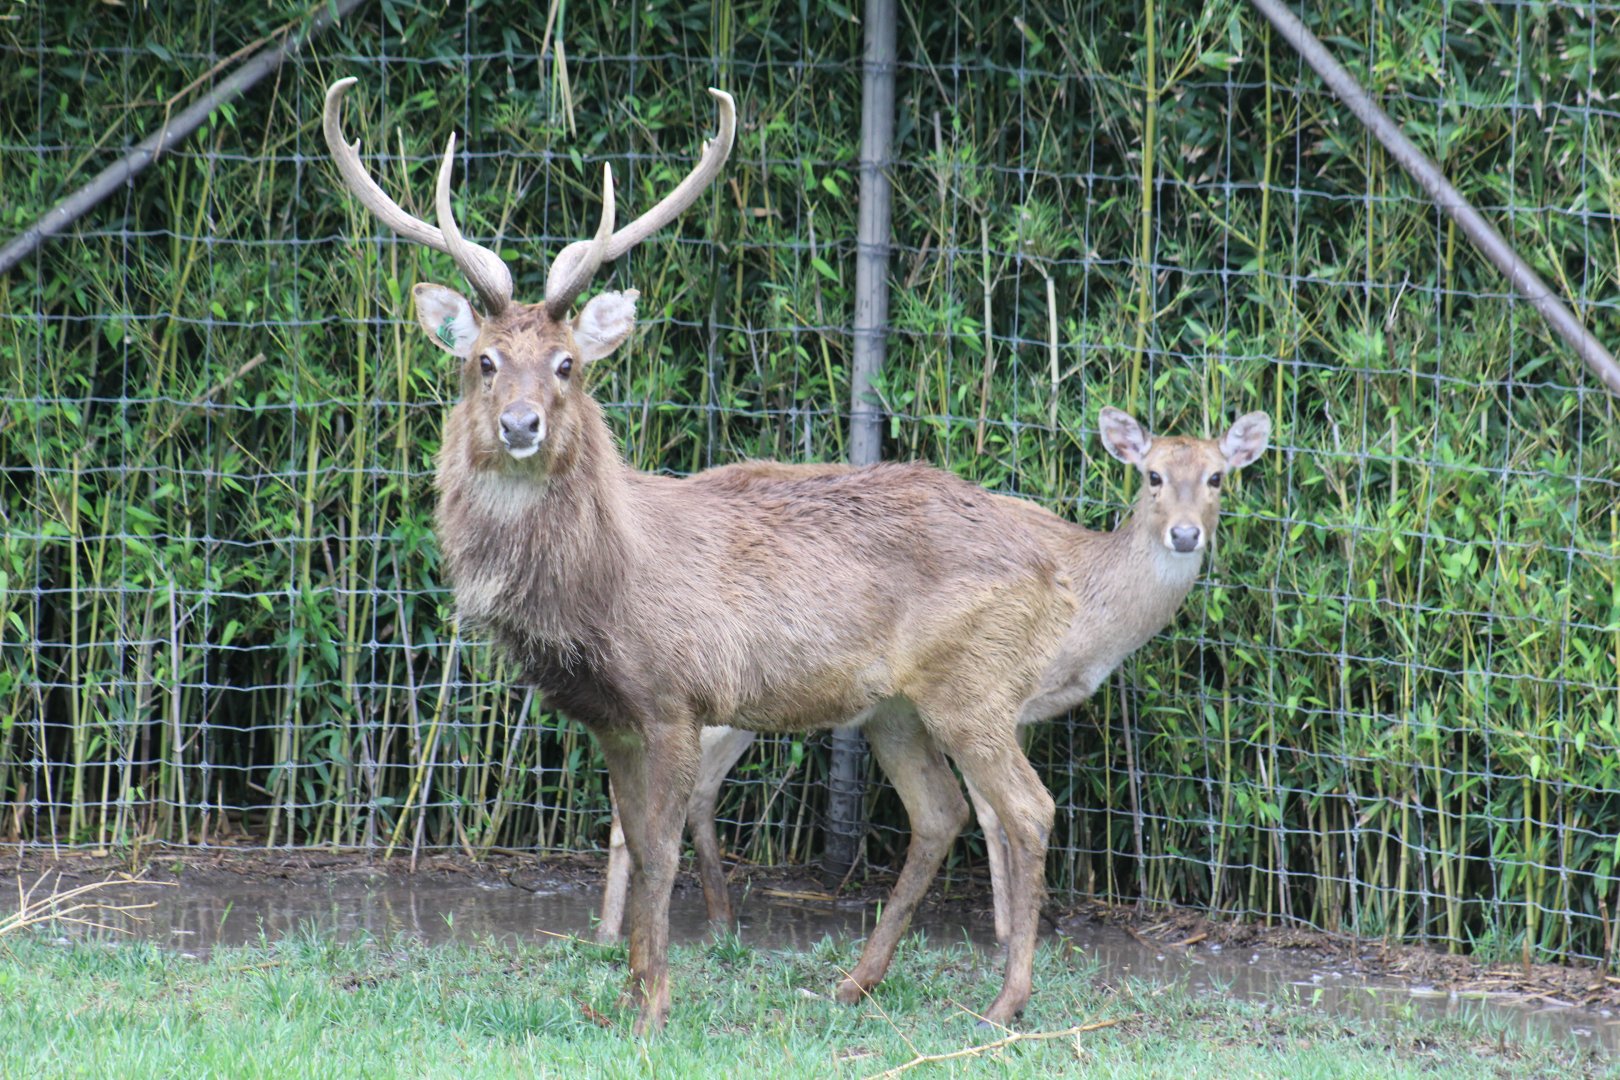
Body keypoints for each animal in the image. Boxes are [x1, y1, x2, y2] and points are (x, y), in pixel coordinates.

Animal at [323, 77, 1080, 1035]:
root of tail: (1061, 570)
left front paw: (653, 1006)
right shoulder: (609, 715)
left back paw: (1007, 1002)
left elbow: (662, 853)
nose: (521, 425)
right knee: (941, 813)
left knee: (1026, 808)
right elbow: (636, 845)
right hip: (893, 707)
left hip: (975, 682)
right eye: (485, 361)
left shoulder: (675, 695)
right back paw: (853, 983)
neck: (602, 592)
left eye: (567, 364)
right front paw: (623, 995)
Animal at [595, 407, 1272, 947]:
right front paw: (1009, 933)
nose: (1185, 533)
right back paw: (612, 933)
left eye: (1217, 476)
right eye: (1152, 475)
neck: (1091, 607)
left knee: (696, 786)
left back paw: (713, 922)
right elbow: (996, 814)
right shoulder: (997, 696)